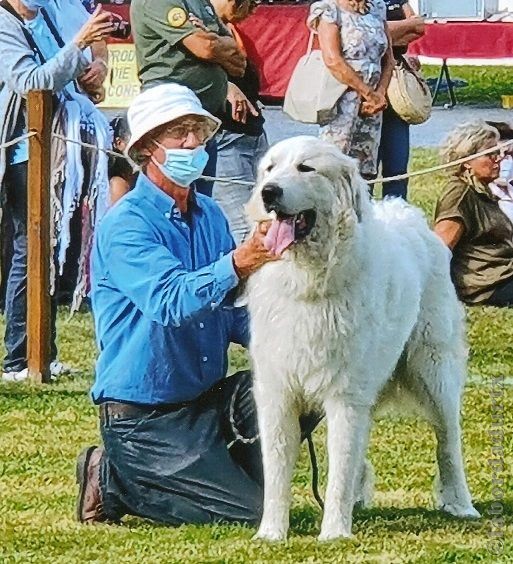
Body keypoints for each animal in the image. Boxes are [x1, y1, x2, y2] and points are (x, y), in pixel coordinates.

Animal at [246, 135, 478, 540]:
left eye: (305, 168)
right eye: (270, 168)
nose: (268, 192)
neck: (308, 282)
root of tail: (405, 211)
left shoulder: (345, 395)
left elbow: (339, 468)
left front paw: (334, 534)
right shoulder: (277, 392)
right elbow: (276, 470)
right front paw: (271, 533)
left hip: (433, 371)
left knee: (447, 439)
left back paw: (461, 505)